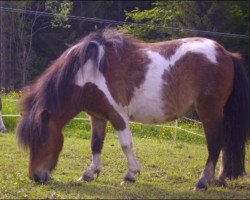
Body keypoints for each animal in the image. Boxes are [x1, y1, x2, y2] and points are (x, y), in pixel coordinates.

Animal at [16, 29, 249, 191]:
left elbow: (126, 145)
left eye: (41, 140)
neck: (90, 74)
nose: (35, 177)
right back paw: (219, 179)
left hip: (209, 112)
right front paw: (90, 173)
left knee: (215, 144)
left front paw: (130, 175)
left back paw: (202, 182)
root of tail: (226, 54)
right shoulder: (97, 117)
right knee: (225, 144)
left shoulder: (118, 116)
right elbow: (95, 144)